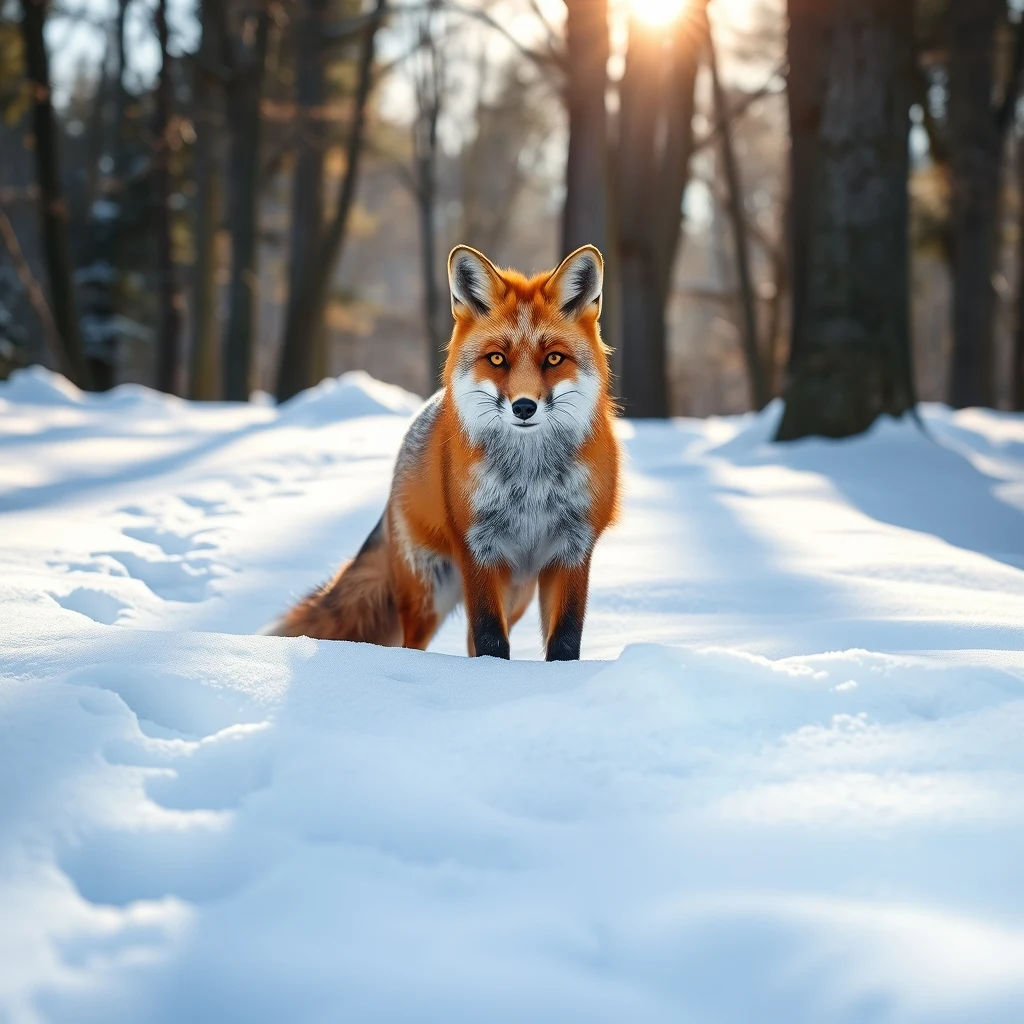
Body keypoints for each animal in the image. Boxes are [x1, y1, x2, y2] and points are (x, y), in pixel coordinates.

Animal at [267, 244, 621, 661]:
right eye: (497, 359)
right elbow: (490, 639)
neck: (530, 482)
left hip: (517, 591)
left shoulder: (574, 549)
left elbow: (564, 639)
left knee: (470, 638)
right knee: (416, 642)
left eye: (553, 359)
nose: (523, 407)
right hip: (430, 593)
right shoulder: (478, 549)